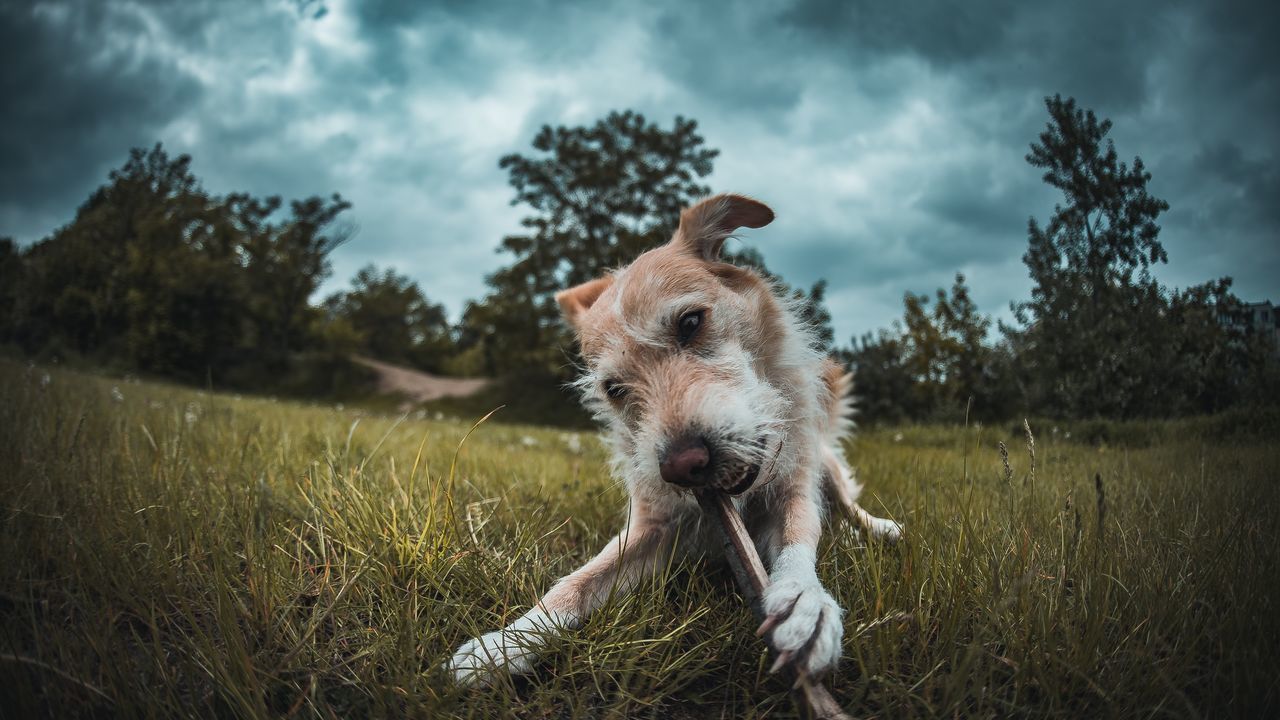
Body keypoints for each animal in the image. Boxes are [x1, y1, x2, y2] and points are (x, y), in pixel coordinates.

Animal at [448, 192, 901, 681]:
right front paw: (505, 643)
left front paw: (805, 601)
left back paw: (874, 529)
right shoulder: (652, 526)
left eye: (690, 323)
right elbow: (577, 581)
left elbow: (801, 537)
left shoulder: (793, 491)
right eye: (614, 389)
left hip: (823, 461)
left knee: (846, 502)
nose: (683, 467)